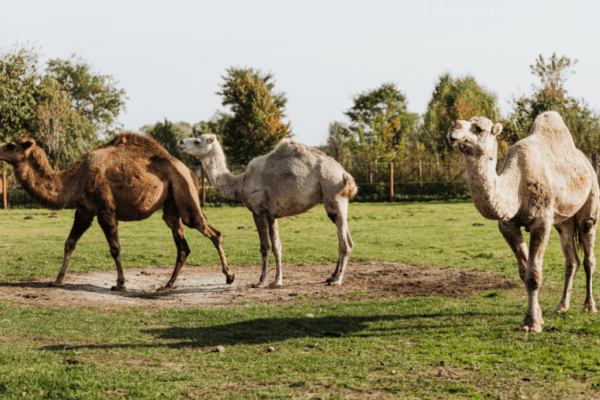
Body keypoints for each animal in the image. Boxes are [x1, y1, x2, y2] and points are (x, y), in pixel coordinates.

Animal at [0, 134, 234, 290]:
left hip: (185, 195)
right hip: (171, 206)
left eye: (11, 145)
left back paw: (229, 276)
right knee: (183, 245)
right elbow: (69, 243)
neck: (76, 179)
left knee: (211, 231)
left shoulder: (106, 209)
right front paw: (57, 280)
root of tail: (190, 172)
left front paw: (120, 284)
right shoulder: (84, 210)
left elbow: (115, 248)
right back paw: (167, 285)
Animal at [177, 134, 356, 288]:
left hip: (333, 192)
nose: (180, 142)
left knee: (344, 242)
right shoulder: (271, 215)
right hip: (340, 199)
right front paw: (277, 281)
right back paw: (331, 277)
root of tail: (344, 173)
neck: (240, 183)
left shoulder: (258, 210)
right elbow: (277, 246)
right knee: (346, 238)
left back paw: (337, 280)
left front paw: (261, 282)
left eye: (197, 141)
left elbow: (265, 247)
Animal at [448, 111, 596, 332]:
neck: (516, 187)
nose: (454, 128)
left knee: (588, 257)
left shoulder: (541, 222)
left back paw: (589, 306)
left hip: (591, 202)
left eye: (480, 129)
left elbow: (533, 275)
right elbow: (523, 271)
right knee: (572, 260)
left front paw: (531, 324)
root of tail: (587, 163)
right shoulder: (507, 225)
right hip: (564, 222)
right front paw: (539, 316)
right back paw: (562, 306)